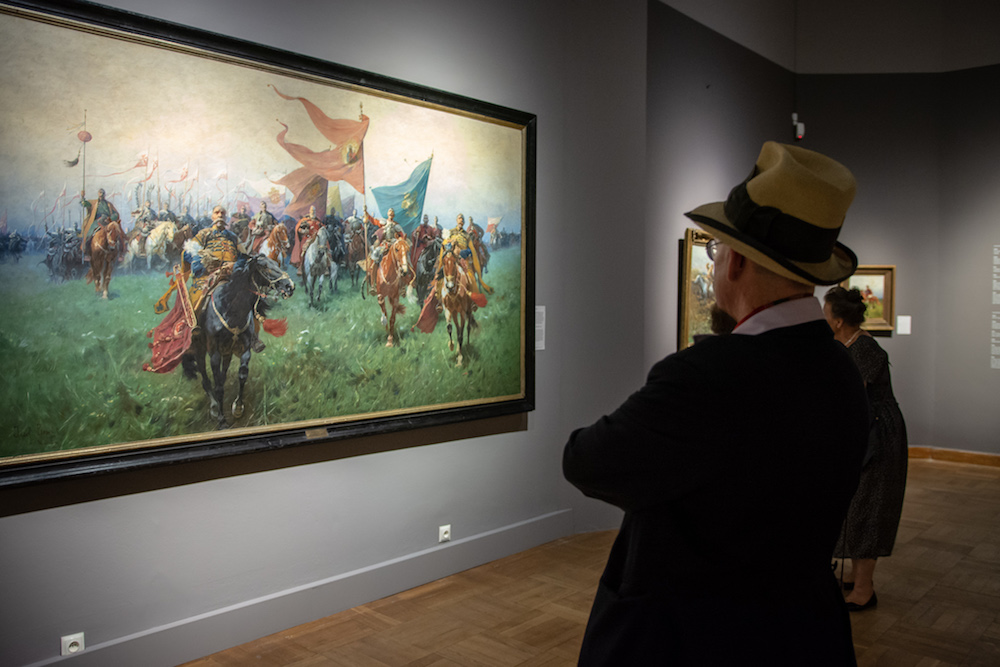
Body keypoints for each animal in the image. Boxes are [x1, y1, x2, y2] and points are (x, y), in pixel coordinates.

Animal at [181, 255, 295, 429]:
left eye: (276, 264)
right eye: (265, 267)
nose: (290, 286)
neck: (231, 309)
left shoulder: (245, 349)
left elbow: (242, 375)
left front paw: (238, 407)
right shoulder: (214, 353)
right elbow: (218, 387)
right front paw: (222, 420)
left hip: (227, 352)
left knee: (222, 375)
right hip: (200, 349)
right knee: (205, 379)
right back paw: (214, 407)